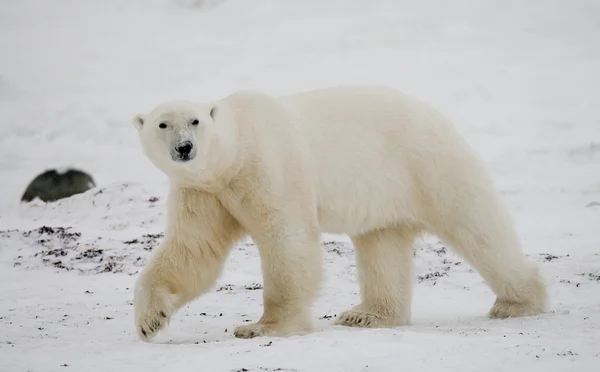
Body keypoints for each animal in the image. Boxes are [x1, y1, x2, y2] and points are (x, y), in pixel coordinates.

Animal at [132, 85, 548, 342]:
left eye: (196, 121)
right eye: (163, 123)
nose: (184, 148)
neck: (233, 157)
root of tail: (435, 114)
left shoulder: (269, 166)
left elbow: (287, 239)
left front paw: (263, 326)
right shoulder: (204, 192)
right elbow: (193, 251)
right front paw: (150, 320)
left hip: (428, 164)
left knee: (477, 226)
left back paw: (517, 302)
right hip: (385, 192)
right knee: (382, 247)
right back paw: (367, 314)